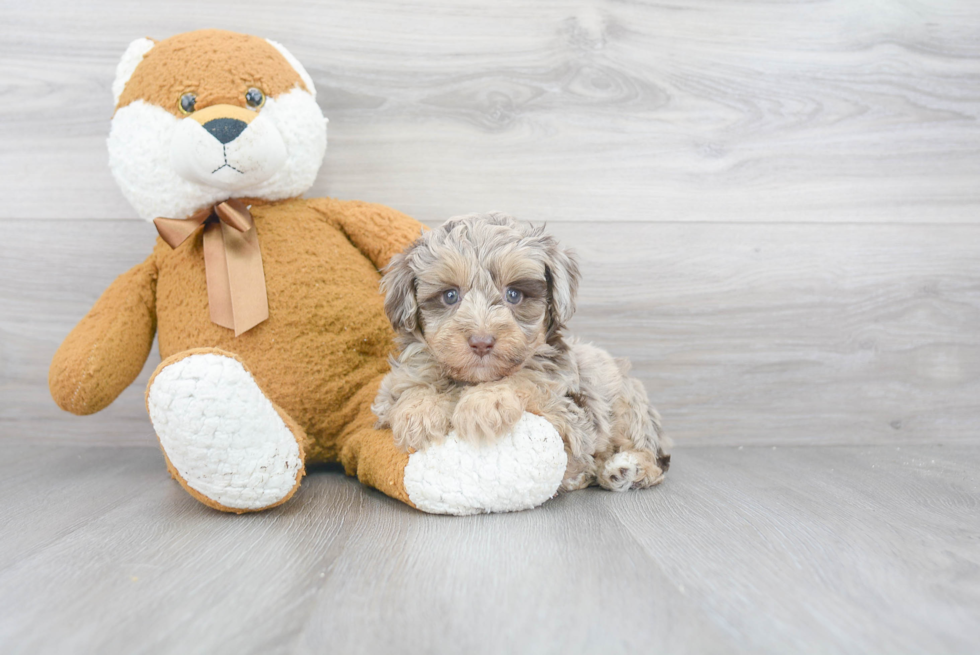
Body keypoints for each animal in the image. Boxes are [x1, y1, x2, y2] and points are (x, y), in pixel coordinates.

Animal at [372, 211, 668, 492]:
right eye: (450, 296)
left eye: (514, 294)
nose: (481, 341)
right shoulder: (390, 392)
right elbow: (410, 388)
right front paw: (418, 413)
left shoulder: (573, 416)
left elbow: (525, 378)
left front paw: (483, 403)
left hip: (626, 404)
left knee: (651, 455)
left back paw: (627, 469)